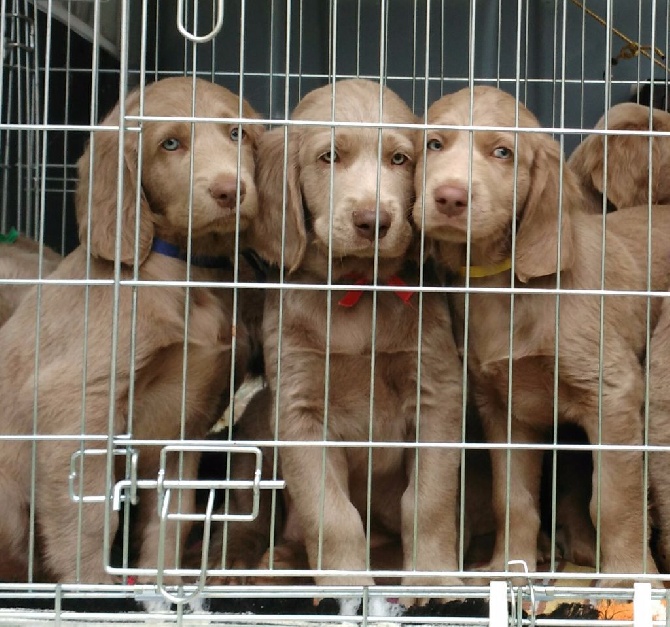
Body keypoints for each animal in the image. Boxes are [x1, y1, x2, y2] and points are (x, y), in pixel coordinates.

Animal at [0, 77, 264, 584]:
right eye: (170, 144)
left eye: (237, 133)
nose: (230, 191)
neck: (188, 270)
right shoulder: (76, 404)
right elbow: (88, 516)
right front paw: (91, 588)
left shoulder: (188, 425)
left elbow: (173, 515)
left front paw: (164, 583)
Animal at [248, 79, 468, 612]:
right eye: (329, 156)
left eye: (400, 159)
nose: (374, 220)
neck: (359, 290)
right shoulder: (300, 410)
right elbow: (330, 511)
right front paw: (345, 585)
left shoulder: (437, 393)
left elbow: (428, 501)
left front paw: (432, 580)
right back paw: (275, 565)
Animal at [418, 83, 670, 584]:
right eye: (434, 145)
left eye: (503, 152)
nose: (450, 197)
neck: (508, 288)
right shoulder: (503, 408)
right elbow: (512, 498)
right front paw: (509, 568)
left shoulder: (614, 394)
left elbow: (614, 500)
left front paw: (626, 576)